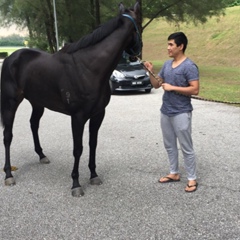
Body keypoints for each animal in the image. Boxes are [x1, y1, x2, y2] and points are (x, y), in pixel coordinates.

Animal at [0, 1, 142, 197]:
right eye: (140, 25)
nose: (138, 52)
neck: (88, 68)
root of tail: (11, 57)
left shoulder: (98, 115)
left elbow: (92, 144)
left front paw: (94, 175)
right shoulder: (78, 117)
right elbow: (78, 149)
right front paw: (76, 183)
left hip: (37, 103)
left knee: (34, 124)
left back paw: (42, 156)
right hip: (10, 103)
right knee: (8, 136)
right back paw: (8, 174)